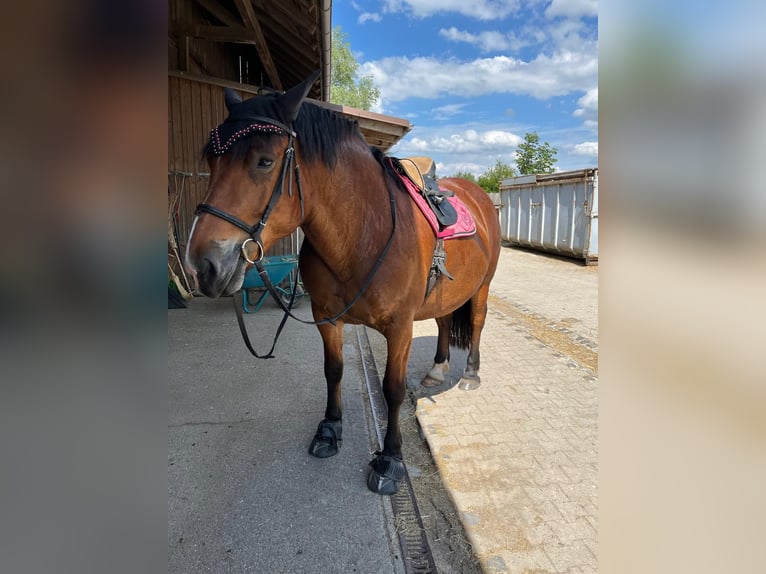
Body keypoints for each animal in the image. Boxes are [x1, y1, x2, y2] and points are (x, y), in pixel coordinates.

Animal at [186, 71, 504, 496]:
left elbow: (392, 389)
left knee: (477, 323)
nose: (202, 264)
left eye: (265, 161)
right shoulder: (327, 319)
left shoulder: (400, 328)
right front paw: (330, 430)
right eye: (211, 159)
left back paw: (469, 374)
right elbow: (333, 371)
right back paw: (437, 370)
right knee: (442, 321)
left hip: (482, 287)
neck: (362, 234)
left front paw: (390, 459)